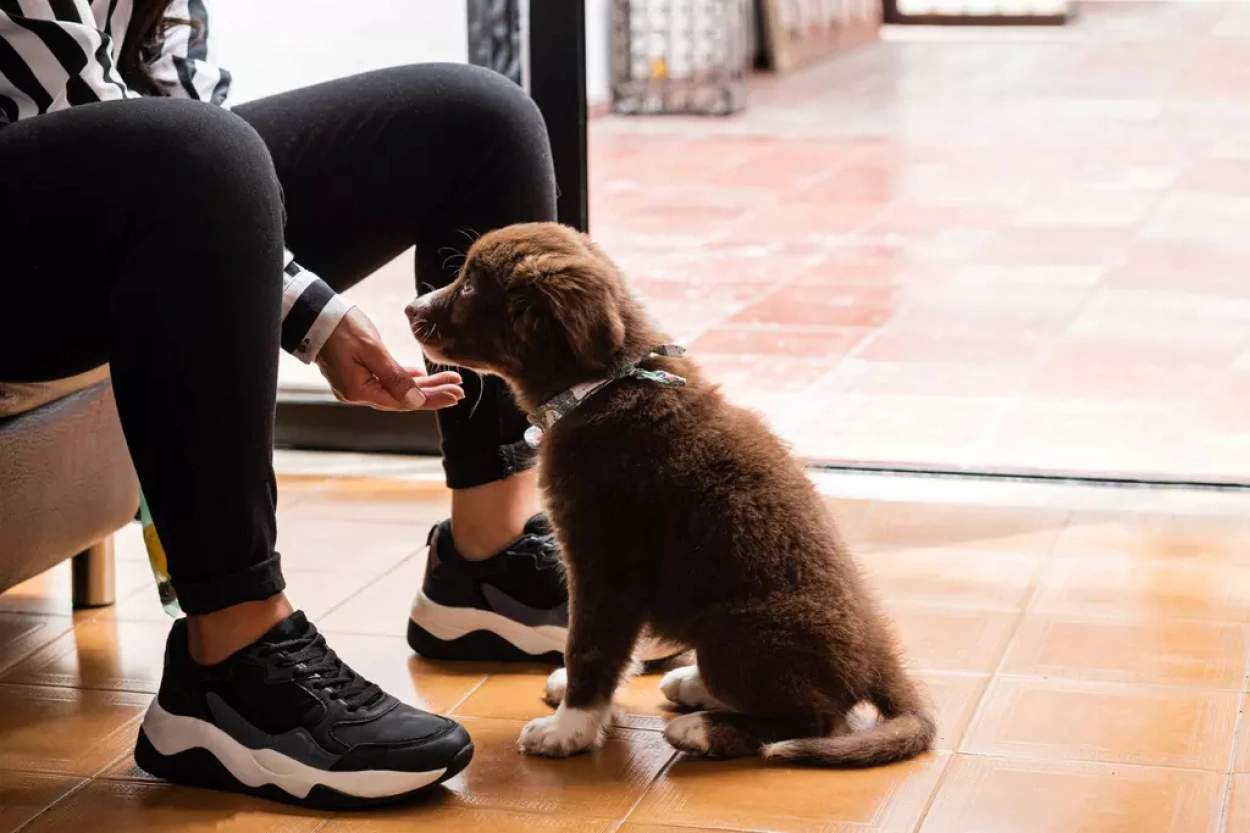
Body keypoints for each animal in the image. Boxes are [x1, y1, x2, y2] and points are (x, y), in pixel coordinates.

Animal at [405, 222, 935, 765]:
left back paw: (703, 729)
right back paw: (694, 685)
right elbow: (613, 652)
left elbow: (589, 648)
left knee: (818, 721)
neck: (601, 385)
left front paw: (569, 730)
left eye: (470, 286)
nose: (409, 309)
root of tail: (880, 662)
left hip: (735, 633)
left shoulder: (604, 566)